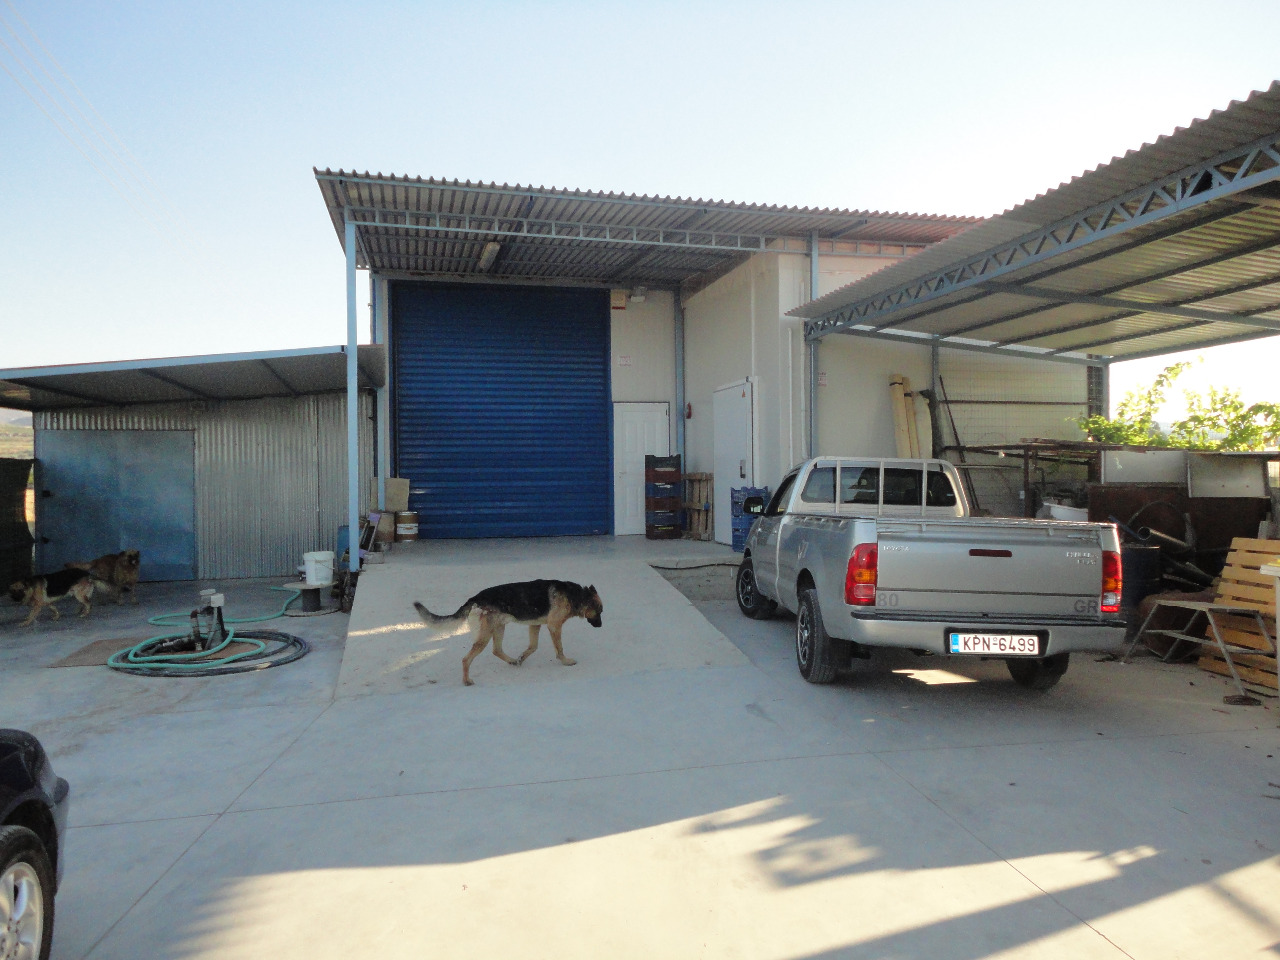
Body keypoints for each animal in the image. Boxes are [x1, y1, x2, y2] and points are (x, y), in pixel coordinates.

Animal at [414, 580, 604, 686]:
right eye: (600, 611)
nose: (601, 626)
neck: (576, 595)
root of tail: (475, 598)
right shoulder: (554, 626)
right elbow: (559, 649)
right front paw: (565, 661)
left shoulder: (535, 625)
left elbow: (533, 647)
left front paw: (521, 658)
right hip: (485, 635)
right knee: (466, 659)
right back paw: (467, 681)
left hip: (499, 628)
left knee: (496, 650)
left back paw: (512, 660)